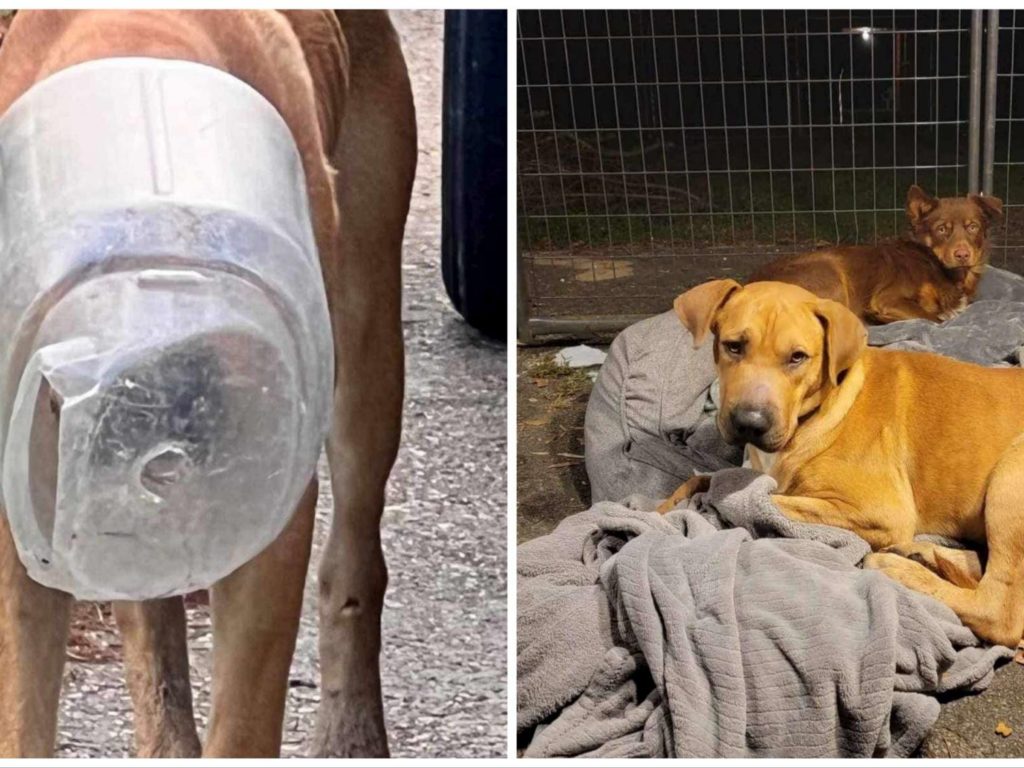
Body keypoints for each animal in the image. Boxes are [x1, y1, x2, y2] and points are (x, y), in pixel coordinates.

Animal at [0, 9, 415, 761]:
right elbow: (26, 721)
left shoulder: (273, 526)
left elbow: (244, 724)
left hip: (368, 357)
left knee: (354, 562)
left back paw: (351, 734)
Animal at [659, 276, 1024, 651]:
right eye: (734, 346)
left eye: (797, 357)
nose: (750, 422)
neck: (817, 412)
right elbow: (705, 479)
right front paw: (662, 508)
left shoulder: (879, 509)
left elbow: (759, 498)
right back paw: (921, 554)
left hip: (1010, 479)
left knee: (999, 611)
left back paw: (900, 569)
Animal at [749, 186, 1003, 325]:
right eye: (941, 229)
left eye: (973, 227)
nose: (962, 254)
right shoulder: (886, 299)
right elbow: (932, 318)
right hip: (832, 275)